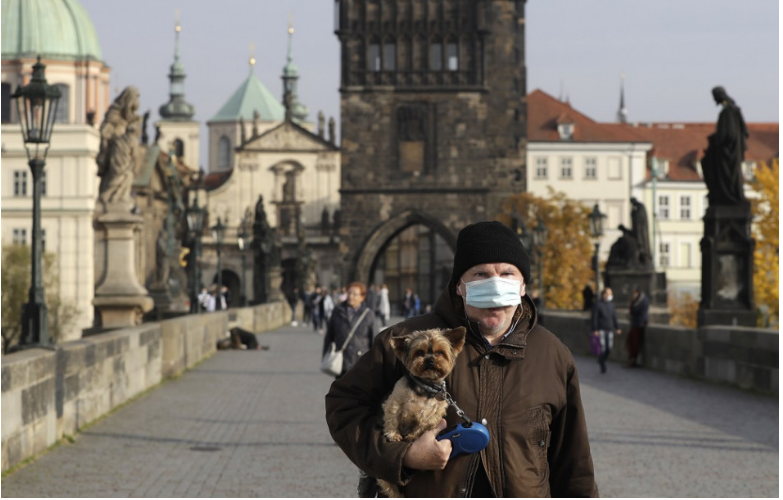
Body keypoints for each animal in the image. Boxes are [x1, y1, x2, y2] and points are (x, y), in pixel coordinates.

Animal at [378, 326, 468, 498]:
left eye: (440, 352)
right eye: (419, 352)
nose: (430, 360)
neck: (426, 387)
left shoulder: (434, 414)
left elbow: (423, 426)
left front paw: (413, 436)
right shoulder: (394, 401)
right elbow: (392, 418)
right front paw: (394, 435)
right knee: (388, 484)